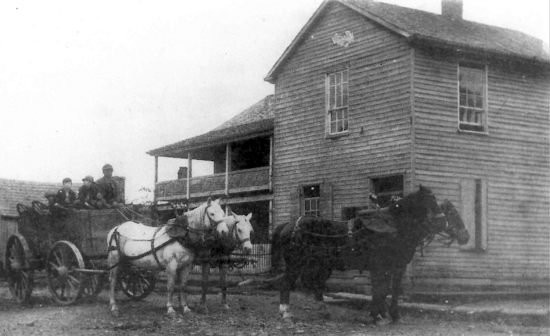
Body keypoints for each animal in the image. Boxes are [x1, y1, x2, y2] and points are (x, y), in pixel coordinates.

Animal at [272, 185, 470, 324]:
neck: (395, 227)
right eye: (431, 201)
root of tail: (289, 225)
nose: (465, 236)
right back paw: (286, 313)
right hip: (296, 263)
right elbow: (384, 290)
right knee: (286, 283)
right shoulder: (385, 266)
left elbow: (386, 289)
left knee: (314, 284)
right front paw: (381, 315)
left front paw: (386, 314)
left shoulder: (392, 267)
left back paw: (323, 310)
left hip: (318, 264)